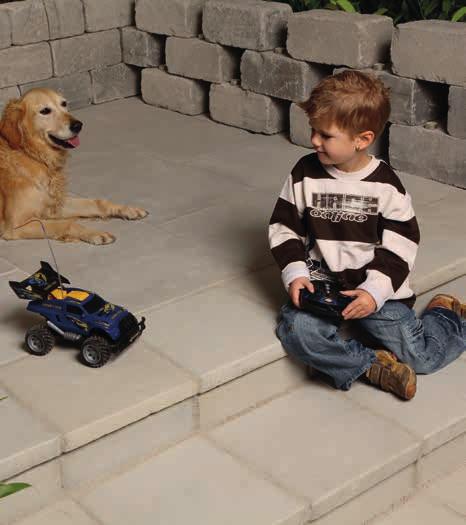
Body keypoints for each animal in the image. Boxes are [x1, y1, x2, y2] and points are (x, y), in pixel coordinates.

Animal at [0, 89, 147, 245]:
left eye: (64, 104)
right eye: (45, 111)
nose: (78, 125)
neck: (33, 156)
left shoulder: (54, 204)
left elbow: (97, 202)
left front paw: (128, 209)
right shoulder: (15, 227)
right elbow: (67, 224)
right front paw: (95, 233)